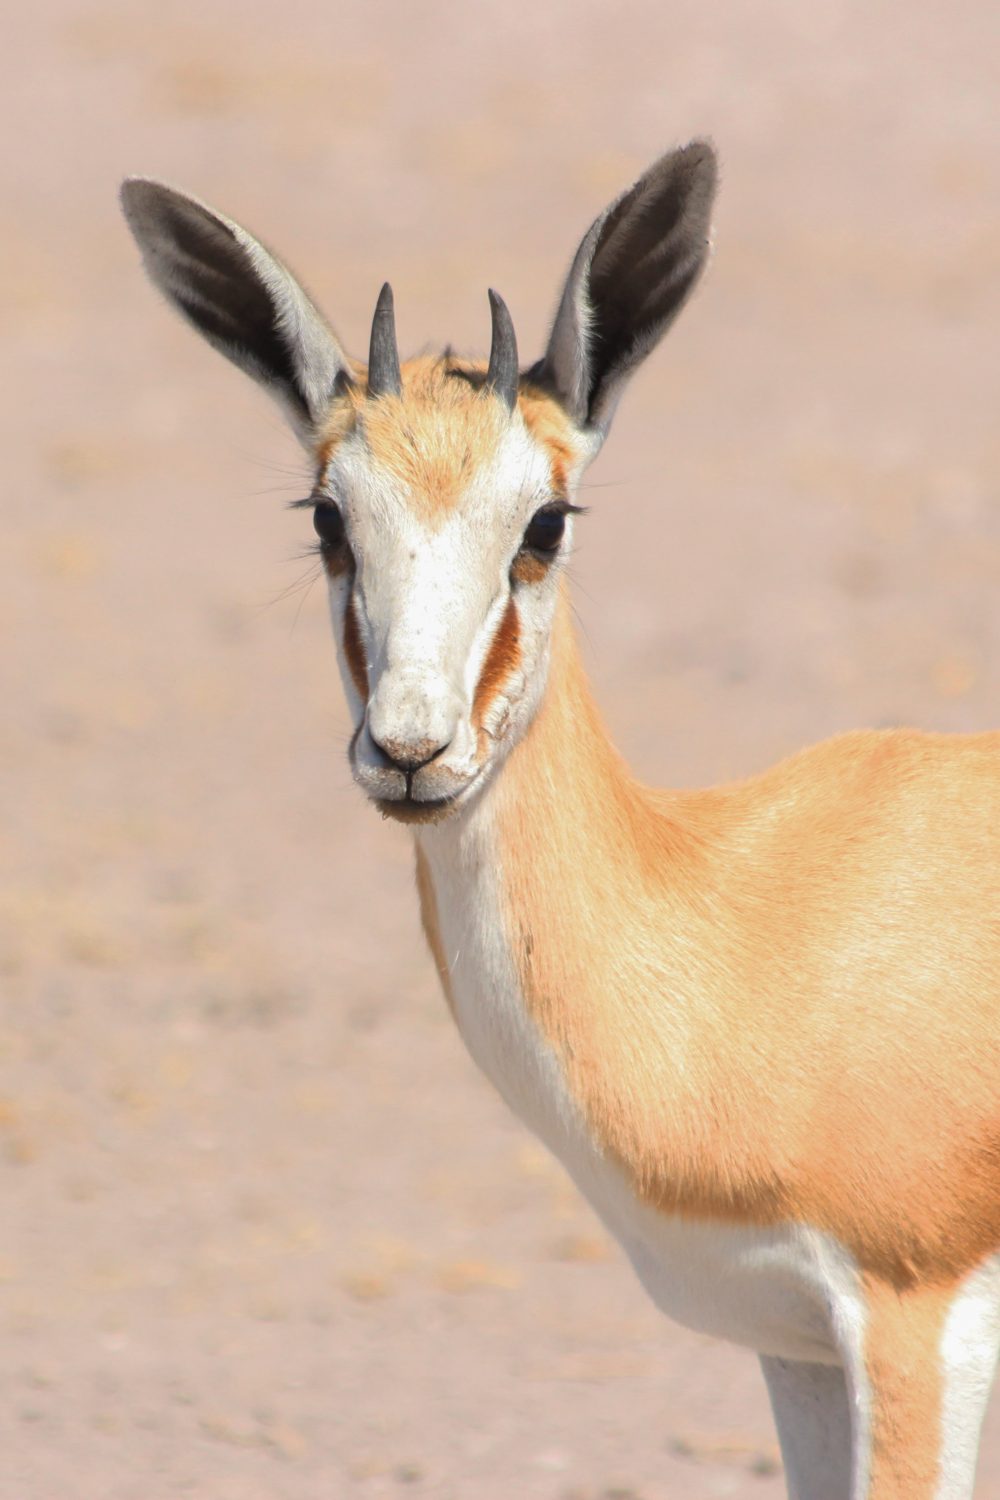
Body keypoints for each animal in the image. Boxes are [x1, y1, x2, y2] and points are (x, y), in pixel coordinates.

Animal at [121, 141, 1000, 1500]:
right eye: (327, 516)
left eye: (545, 519)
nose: (412, 750)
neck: (744, 938)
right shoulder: (794, 1343)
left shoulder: (918, 1314)